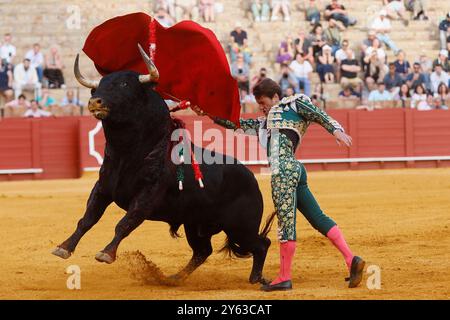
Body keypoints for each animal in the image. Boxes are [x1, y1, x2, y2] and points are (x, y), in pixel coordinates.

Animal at [49, 53, 274, 284]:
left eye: (124, 84)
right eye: (96, 88)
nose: (95, 101)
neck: (127, 154)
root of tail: (251, 178)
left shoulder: (146, 196)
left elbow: (124, 223)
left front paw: (106, 254)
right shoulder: (102, 188)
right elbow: (87, 219)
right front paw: (64, 247)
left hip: (241, 226)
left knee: (261, 244)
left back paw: (255, 278)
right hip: (196, 224)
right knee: (202, 251)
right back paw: (174, 278)